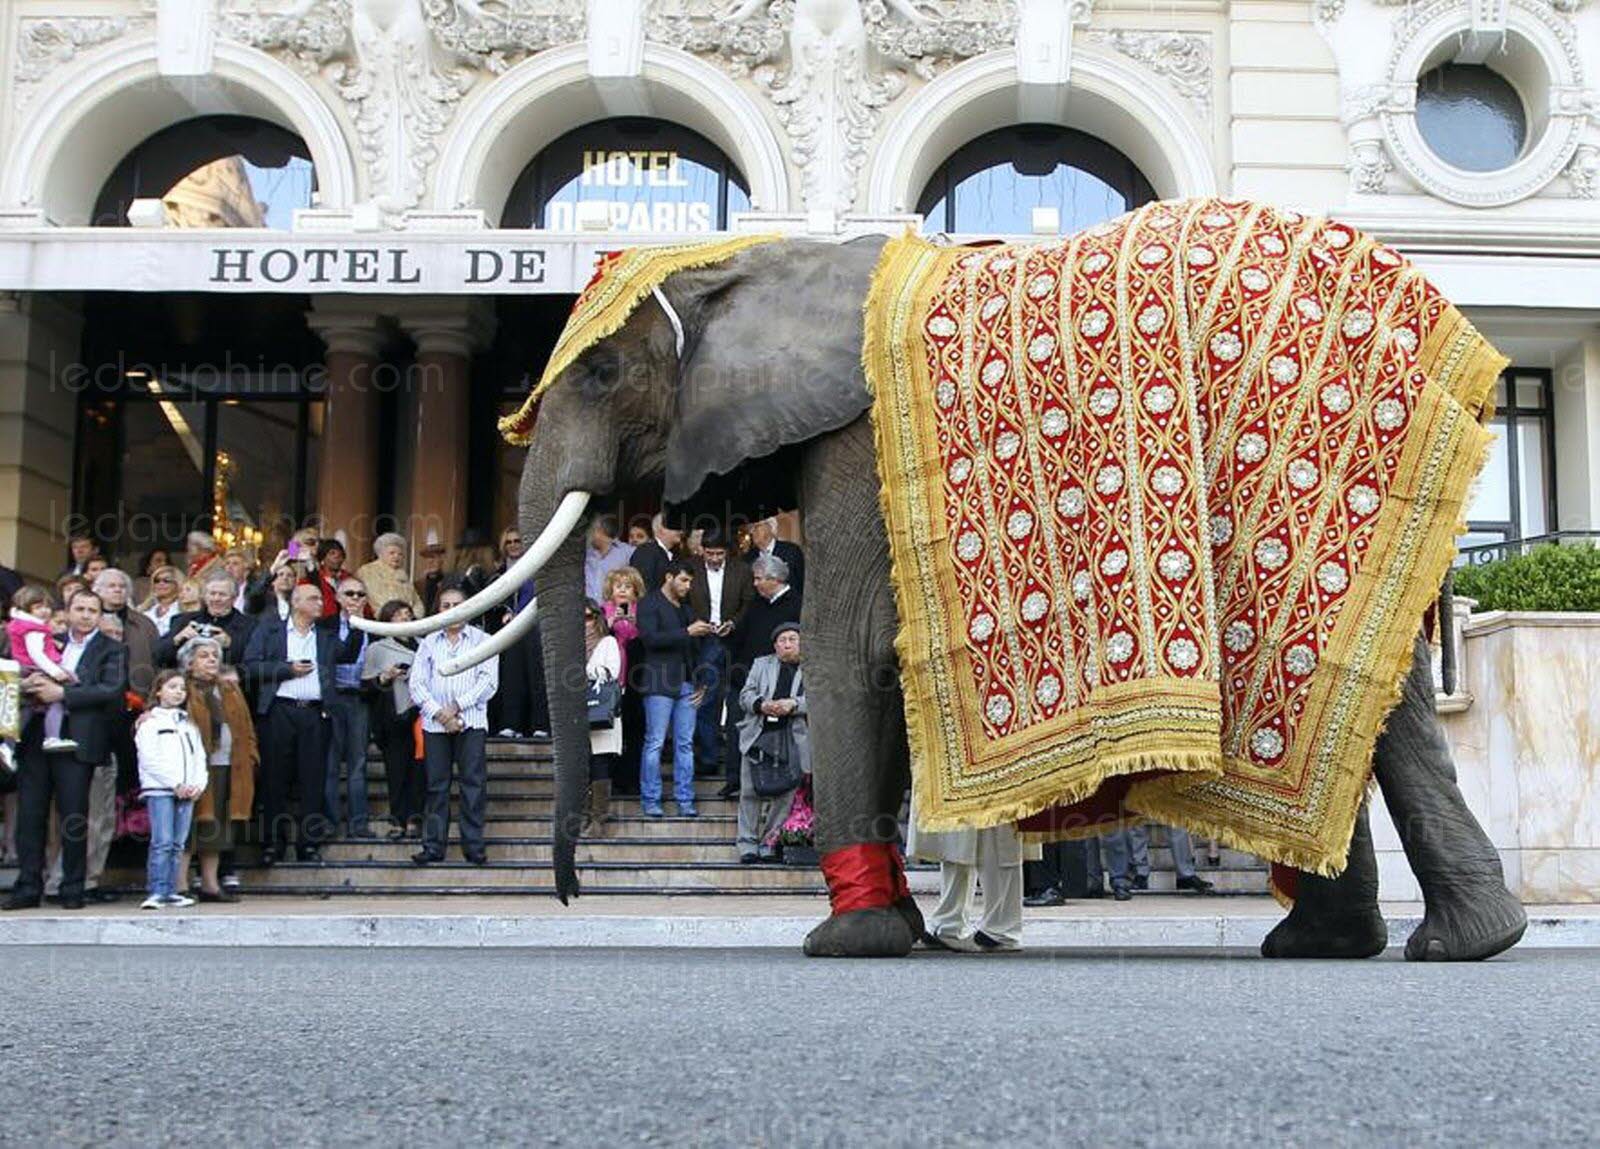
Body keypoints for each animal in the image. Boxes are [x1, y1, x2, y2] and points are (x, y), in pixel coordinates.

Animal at [356, 225, 1529, 960]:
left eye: (601, 375)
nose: (565, 885)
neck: (758, 257)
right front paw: (902, 934)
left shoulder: (851, 428)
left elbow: (847, 642)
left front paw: (851, 943)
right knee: (1377, 699)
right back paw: (1392, 943)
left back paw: (1418, 944)